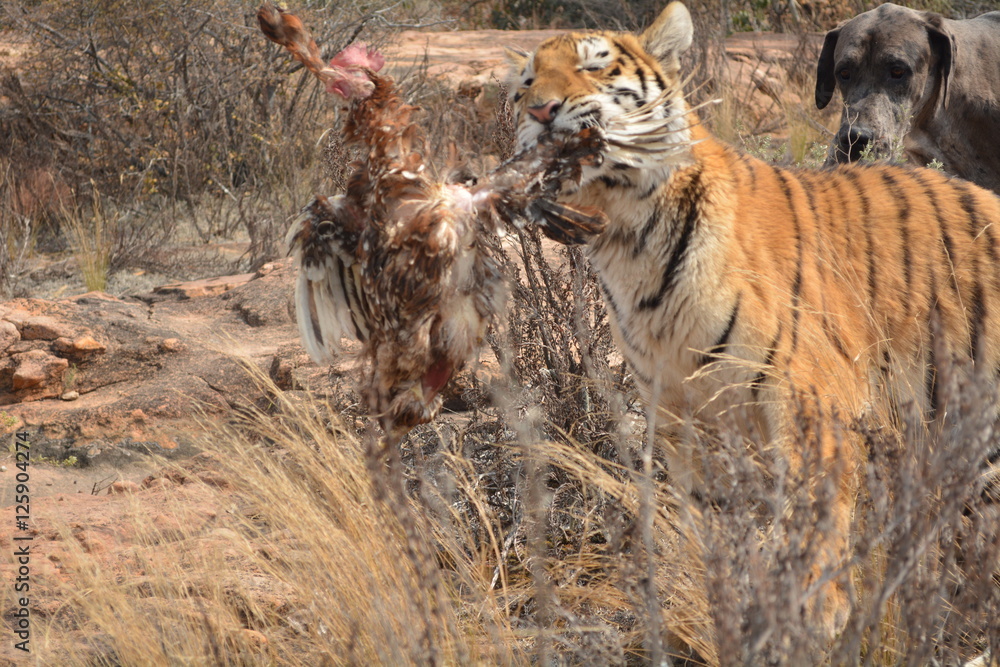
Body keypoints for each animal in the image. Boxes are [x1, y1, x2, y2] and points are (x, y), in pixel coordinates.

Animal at [506, 1, 1000, 639]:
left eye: (594, 66)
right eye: (525, 83)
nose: (539, 110)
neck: (627, 240)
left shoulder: (814, 398)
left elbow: (814, 513)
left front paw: (814, 614)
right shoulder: (683, 419)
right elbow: (715, 526)